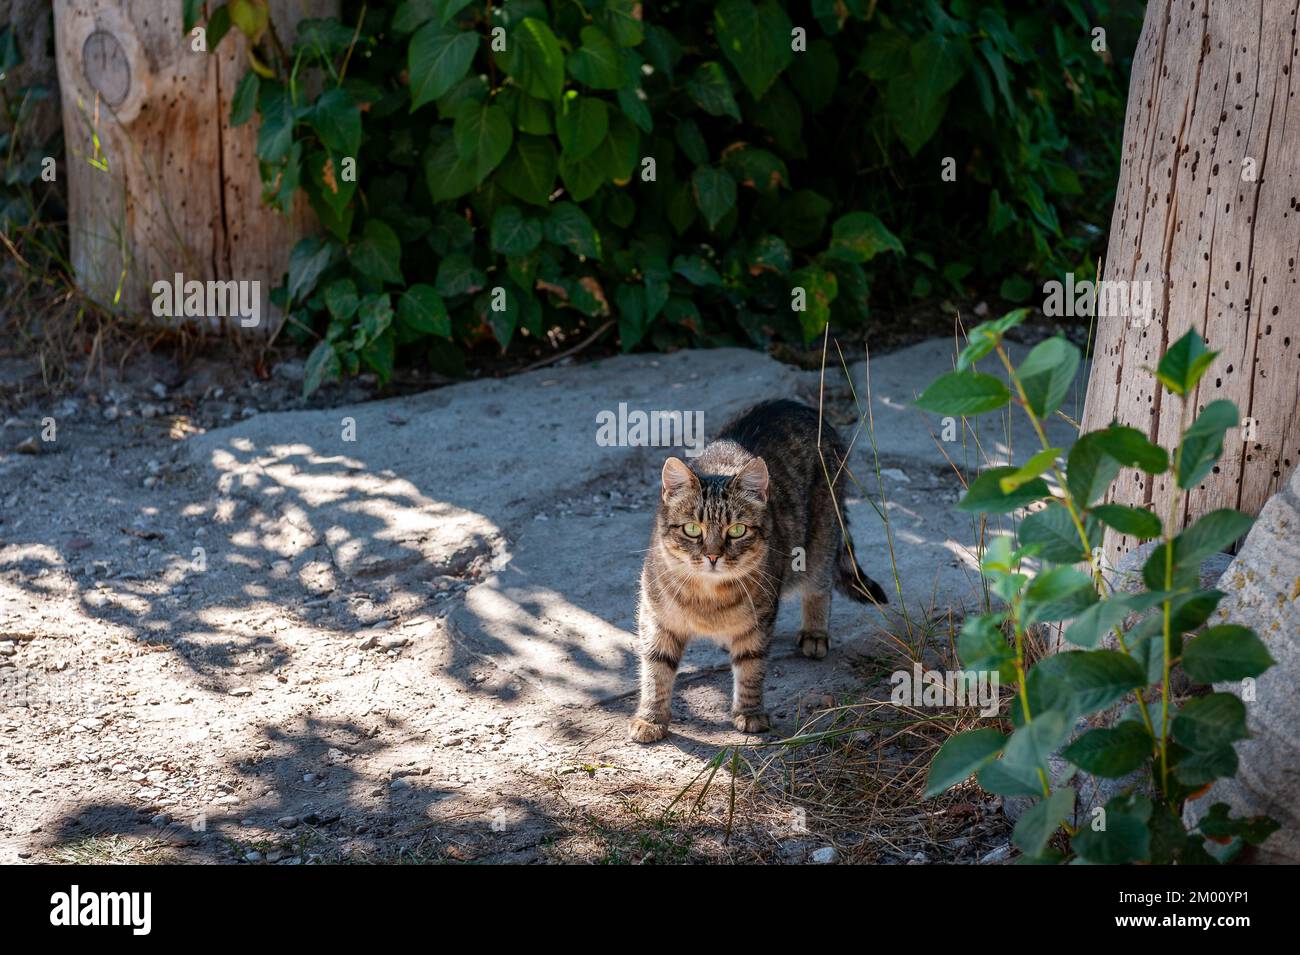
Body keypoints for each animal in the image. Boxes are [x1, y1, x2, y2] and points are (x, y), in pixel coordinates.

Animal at [626, 400, 889, 743]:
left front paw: (749, 713)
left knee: (820, 588)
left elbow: (751, 667)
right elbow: (655, 671)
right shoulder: (656, 619)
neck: (707, 598)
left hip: (819, 544)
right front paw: (651, 718)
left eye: (737, 530)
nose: (713, 555)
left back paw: (815, 633)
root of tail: (798, 405)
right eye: (692, 529)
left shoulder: (759, 621)